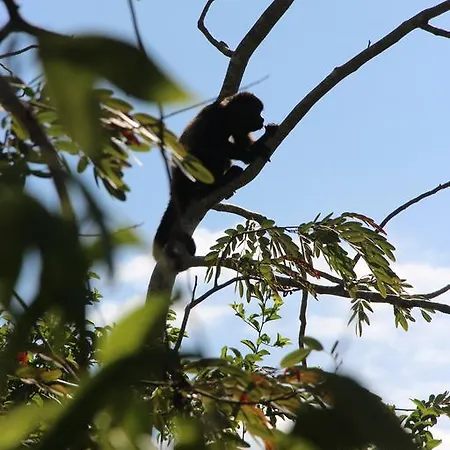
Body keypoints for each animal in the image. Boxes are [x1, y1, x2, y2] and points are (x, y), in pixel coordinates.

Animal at [153, 92, 278, 270]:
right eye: (256, 113)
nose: (262, 119)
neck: (227, 117)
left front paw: (265, 137)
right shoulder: (215, 119)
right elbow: (208, 145)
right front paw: (250, 154)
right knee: (212, 154)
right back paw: (213, 185)